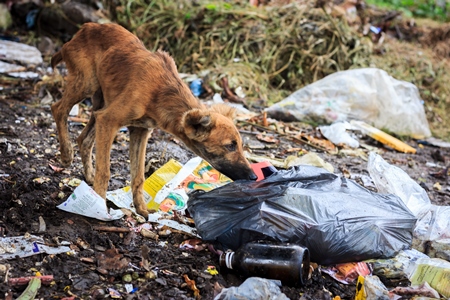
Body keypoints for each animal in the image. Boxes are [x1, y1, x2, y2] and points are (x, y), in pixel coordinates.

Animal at [51, 22, 256, 217]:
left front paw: (141, 209)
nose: (254, 177)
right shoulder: (109, 120)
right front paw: (99, 209)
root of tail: (86, 27)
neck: (161, 92)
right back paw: (67, 154)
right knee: (58, 109)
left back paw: (88, 177)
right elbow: (105, 171)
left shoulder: (140, 131)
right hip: (86, 84)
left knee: (83, 139)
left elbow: (138, 176)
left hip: (100, 102)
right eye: (230, 146)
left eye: (240, 145)